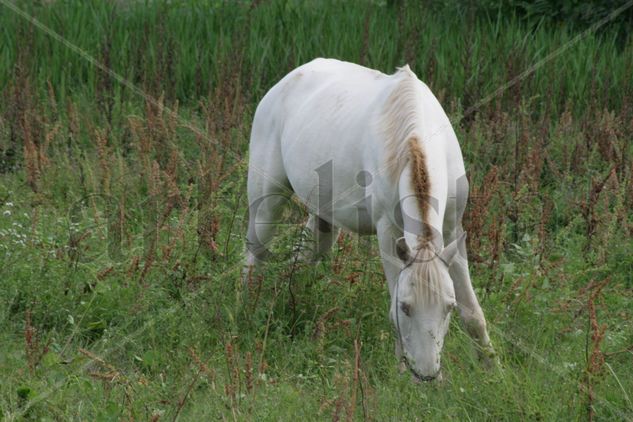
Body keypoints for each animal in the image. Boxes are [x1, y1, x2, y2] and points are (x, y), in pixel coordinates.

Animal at [244, 58, 496, 380]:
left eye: (447, 308)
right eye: (405, 307)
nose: (427, 376)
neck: (414, 138)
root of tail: (284, 83)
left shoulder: (452, 231)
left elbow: (473, 311)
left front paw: (492, 367)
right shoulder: (388, 233)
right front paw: (401, 374)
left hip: (322, 220)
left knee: (301, 258)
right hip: (266, 201)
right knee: (255, 252)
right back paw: (244, 304)